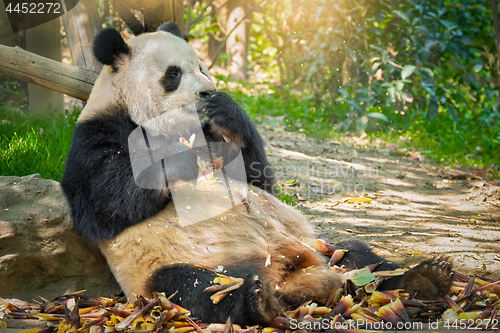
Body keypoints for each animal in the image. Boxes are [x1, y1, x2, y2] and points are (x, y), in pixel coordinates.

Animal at [60, 22, 456, 324]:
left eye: (202, 67)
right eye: (173, 74)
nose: (208, 93)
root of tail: (291, 275)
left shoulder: (214, 136)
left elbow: (258, 179)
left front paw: (228, 112)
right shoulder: (96, 135)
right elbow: (104, 204)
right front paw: (181, 160)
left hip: (319, 245)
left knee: (361, 256)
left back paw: (424, 278)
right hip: (178, 268)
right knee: (194, 287)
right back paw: (257, 302)